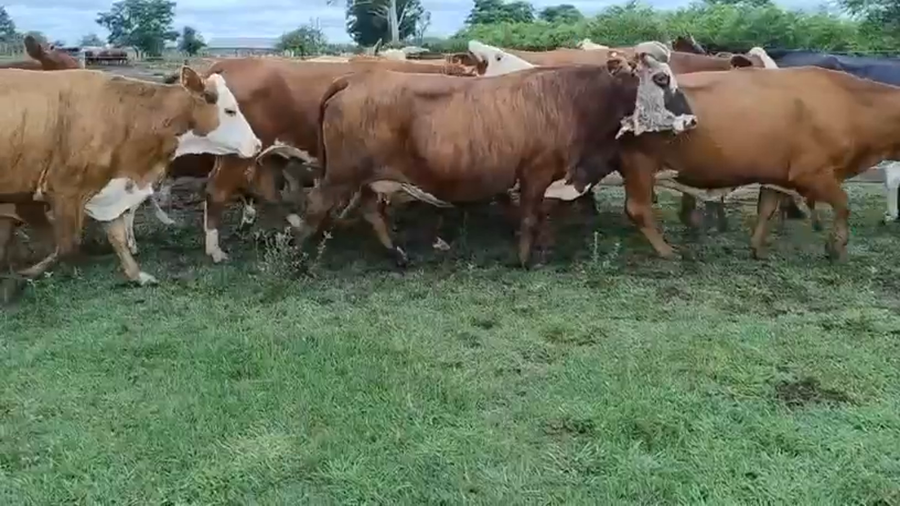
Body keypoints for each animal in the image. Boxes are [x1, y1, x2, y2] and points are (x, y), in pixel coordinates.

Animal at [0, 66, 260, 285]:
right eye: (230, 111)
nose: (257, 144)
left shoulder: (110, 190)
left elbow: (118, 238)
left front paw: (137, 275)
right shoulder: (65, 192)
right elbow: (65, 245)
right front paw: (27, 273)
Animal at [290, 43, 697, 267]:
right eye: (661, 79)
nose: (692, 120)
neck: (572, 98)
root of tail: (354, 79)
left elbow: (539, 216)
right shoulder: (536, 171)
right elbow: (530, 216)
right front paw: (524, 258)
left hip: (367, 176)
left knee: (371, 211)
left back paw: (398, 256)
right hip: (341, 173)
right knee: (314, 206)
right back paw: (294, 260)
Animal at [603, 66, 900, 262]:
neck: (852, 105)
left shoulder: (778, 174)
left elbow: (766, 209)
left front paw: (758, 248)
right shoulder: (813, 174)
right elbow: (843, 205)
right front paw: (836, 246)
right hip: (640, 164)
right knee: (638, 209)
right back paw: (666, 251)